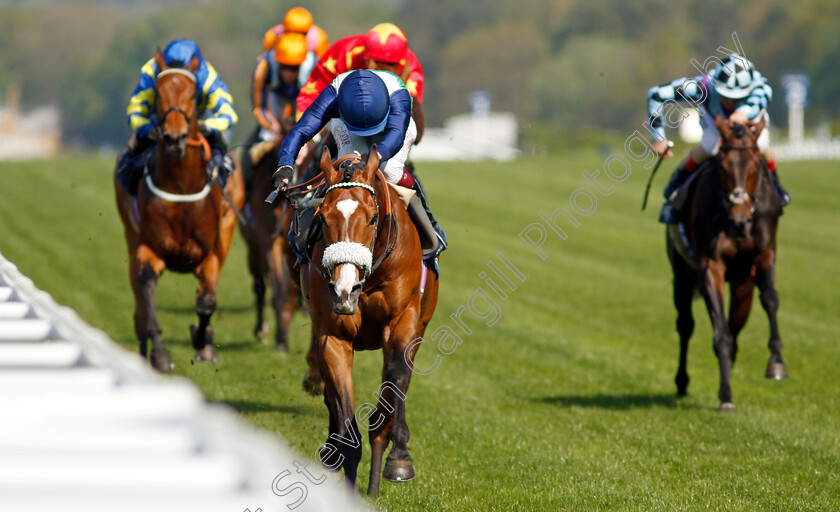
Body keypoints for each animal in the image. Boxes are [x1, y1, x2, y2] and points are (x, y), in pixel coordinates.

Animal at [113, 51, 243, 372]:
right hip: (130, 235)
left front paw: (202, 340)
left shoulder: (210, 253)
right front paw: (160, 353)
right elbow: (147, 285)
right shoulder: (148, 247)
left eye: (193, 93)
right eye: (159, 92)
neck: (182, 187)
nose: (174, 138)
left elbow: (206, 301)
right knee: (139, 301)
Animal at [304, 146, 440, 494]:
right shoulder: (332, 335)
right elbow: (342, 409)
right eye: (322, 218)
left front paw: (400, 457)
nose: (344, 290)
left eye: (373, 217)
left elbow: (396, 376)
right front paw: (341, 455)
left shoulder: (404, 321)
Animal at [668, 115, 788, 412]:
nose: (739, 222)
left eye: (756, 165)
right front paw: (725, 394)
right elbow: (719, 332)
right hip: (682, 275)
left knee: (736, 326)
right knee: (685, 325)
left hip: (742, 283)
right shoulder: (711, 264)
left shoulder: (764, 255)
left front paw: (776, 363)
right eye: (722, 167)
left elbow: (770, 299)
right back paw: (682, 382)